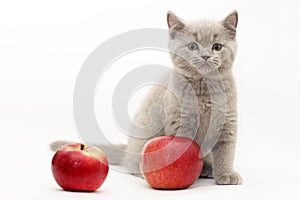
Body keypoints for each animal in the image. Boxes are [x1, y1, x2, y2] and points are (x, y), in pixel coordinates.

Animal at [51, 10, 241, 185]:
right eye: (192, 46)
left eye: (217, 47)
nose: (206, 56)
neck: (204, 90)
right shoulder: (181, 121)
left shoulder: (227, 121)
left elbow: (226, 152)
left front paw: (226, 174)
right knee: (132, 163)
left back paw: (208, 168)